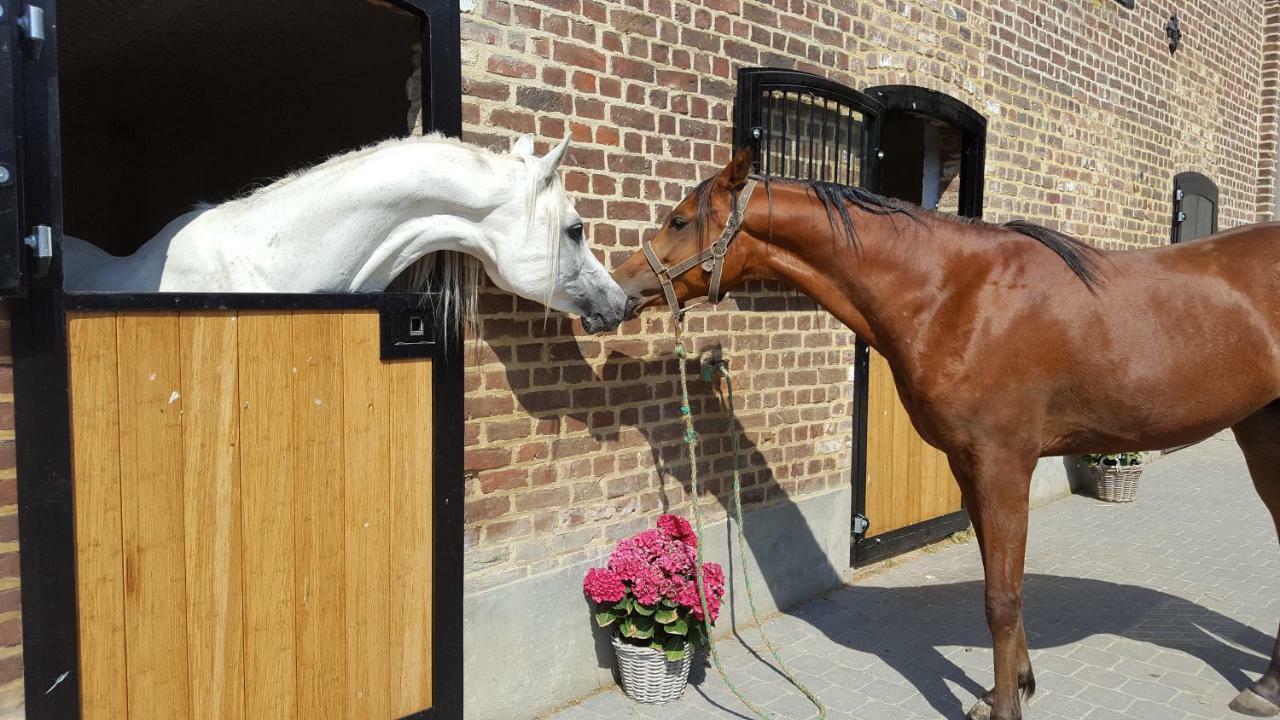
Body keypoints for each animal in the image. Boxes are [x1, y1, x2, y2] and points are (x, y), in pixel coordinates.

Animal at [599, 147, 1280, 717]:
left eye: (680, 220)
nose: (617, 291)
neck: (956, 293)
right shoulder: (967, 463)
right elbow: (997, 581)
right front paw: (1011, 688)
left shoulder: (1004, 462)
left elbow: (1001, 596)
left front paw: (1005, 707)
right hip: (1261, 431)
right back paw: (1264, 689)